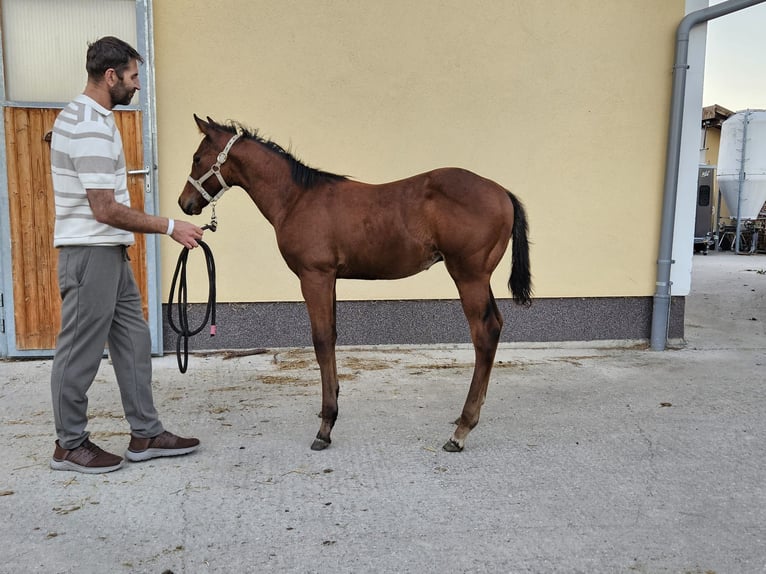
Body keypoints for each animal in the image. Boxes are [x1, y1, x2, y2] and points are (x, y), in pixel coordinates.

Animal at [178, 115, 532, 452]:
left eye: (197, 158)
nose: (185, 203)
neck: (297, 198)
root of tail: (502, 192)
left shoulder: (315, 276)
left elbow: (321, 341)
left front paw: (325, 427)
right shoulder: (329, 279)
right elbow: (332, 337)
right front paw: (331, 406)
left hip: (468, 276)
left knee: (484, 333)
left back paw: (461, 431)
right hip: (480, 277)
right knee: (496, 325)